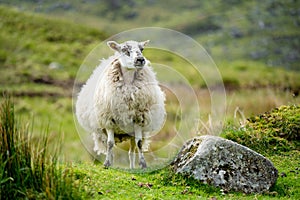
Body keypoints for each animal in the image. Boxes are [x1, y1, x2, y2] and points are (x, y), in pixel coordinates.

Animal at [74, 39, 165, 168]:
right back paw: (110, 162)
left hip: (131, 132)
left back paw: (132, 168)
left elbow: (139, 143)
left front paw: (143, 164)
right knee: (111, 147)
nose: (140, 59)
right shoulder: (108, 120)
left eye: (142, 49)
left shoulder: (138, 119)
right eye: (124, 49)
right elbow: (110, 143)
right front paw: (106, 164)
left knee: (131, 151)